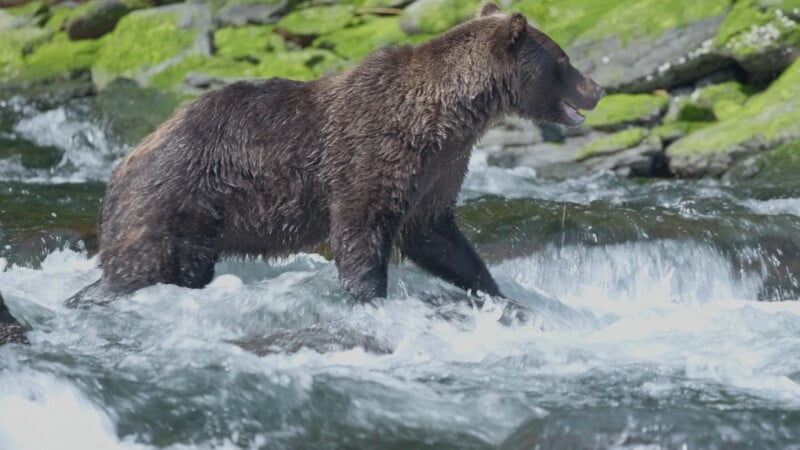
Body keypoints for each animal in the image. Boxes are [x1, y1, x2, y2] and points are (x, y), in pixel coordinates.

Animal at [69, 2, 603, 306]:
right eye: (565, 60)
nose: (596, 88)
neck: (447, 114)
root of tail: (118, 169)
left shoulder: (441, 166)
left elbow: (434, 233)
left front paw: (493, 289)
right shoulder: (374, 150)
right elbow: (360, 229)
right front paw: (369, 297)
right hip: (173, 199)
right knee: (146, 267)